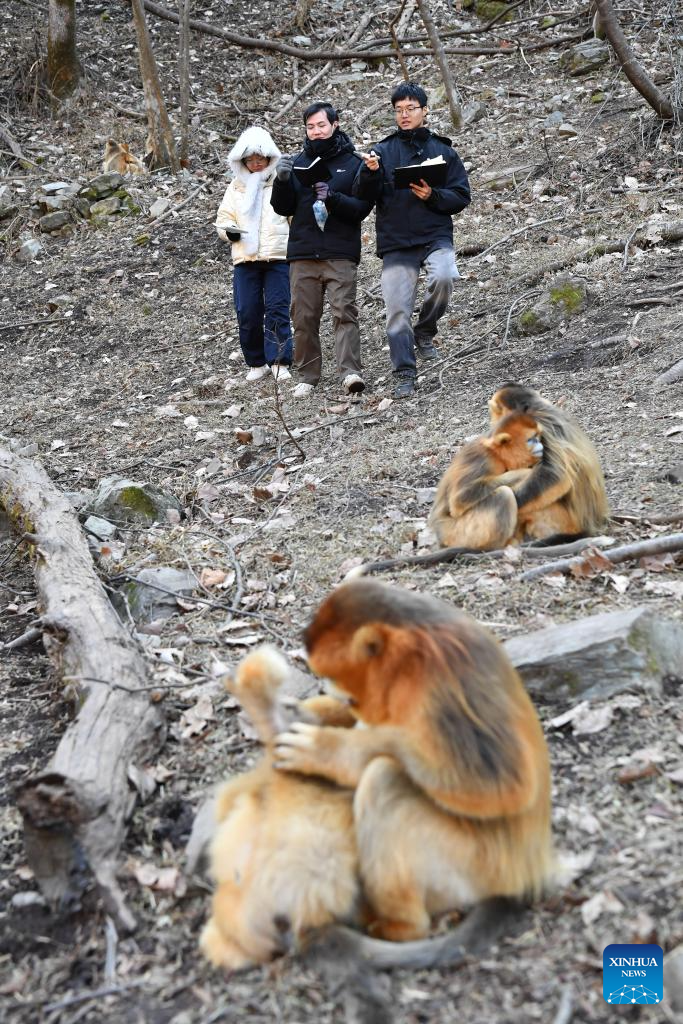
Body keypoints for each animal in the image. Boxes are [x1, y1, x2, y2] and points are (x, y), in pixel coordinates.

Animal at [274, 579, 554, 968]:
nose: (340, 696)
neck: (409, 656)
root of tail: (528, 871)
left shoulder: (440, 688)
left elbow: (505, 787)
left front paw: (330, 750)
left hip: (472, 863)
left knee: (384, 780)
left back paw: (396, 927)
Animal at [428, 411, 544, 551]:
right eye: (531, 439)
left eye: (537, 436)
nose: (540, 444)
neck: (496, 454)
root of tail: (440, 534)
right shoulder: (484, 461)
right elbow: (458, 501)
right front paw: (525, 472)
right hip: (461, 533)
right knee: (504, 494)